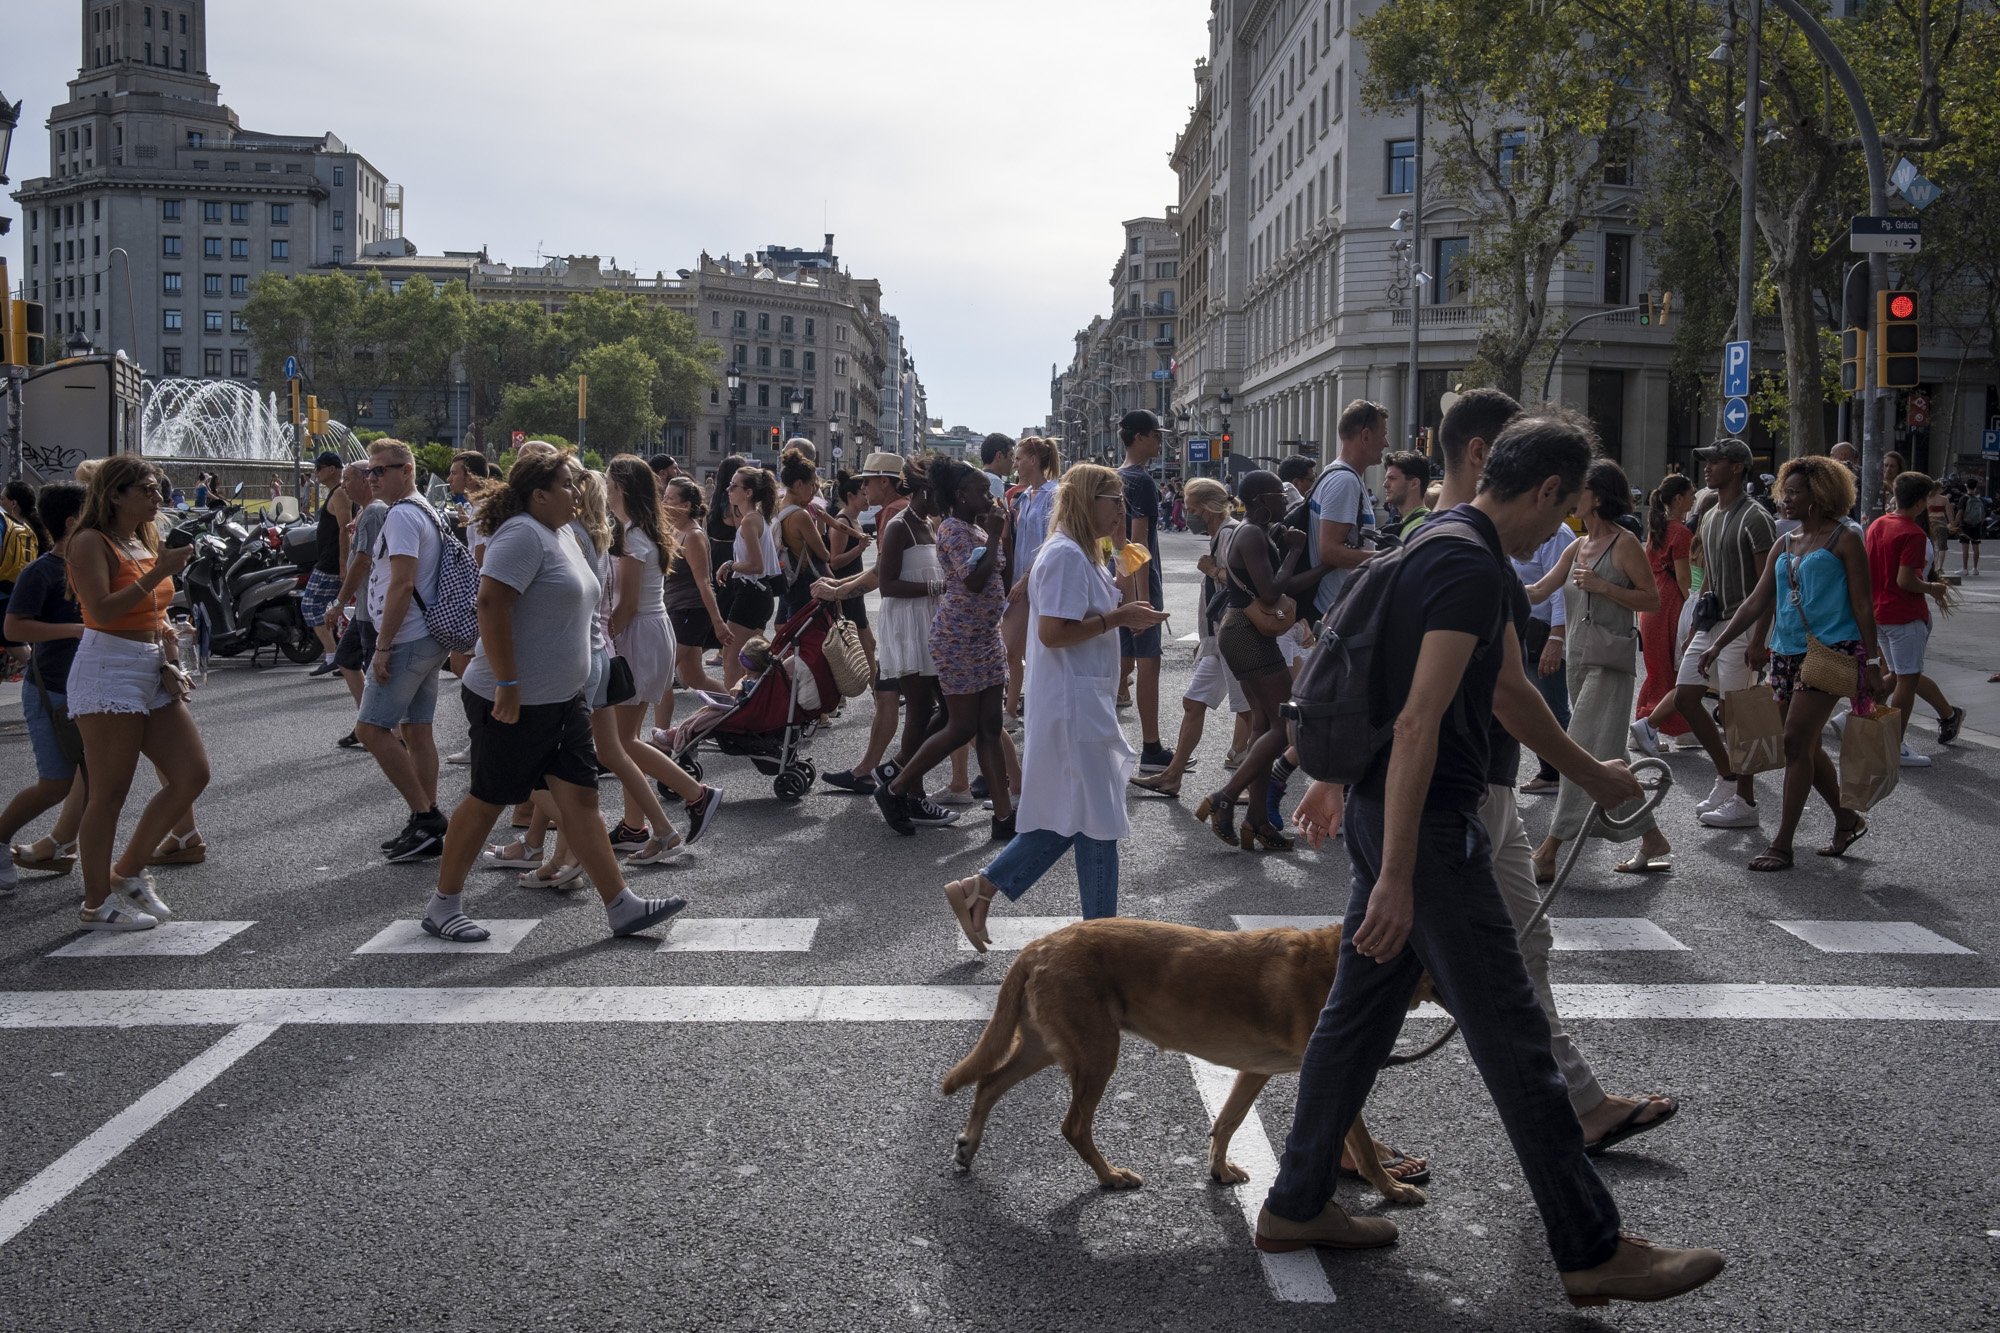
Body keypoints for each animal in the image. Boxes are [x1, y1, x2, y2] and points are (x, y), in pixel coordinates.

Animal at [940, 920, 1432, 1200]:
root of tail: (1036, 946)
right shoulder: (1334, 1067)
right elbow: (1362, 1144)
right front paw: (1391, 1188)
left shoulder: (1254, 1071)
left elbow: (1228, 1121)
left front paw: (1218, 1169)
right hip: (1097, 1054)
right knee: (1073, 1126)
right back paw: (1110, 1176)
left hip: (1045, 1046)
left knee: (988, 1083)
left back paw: (968, 1146)